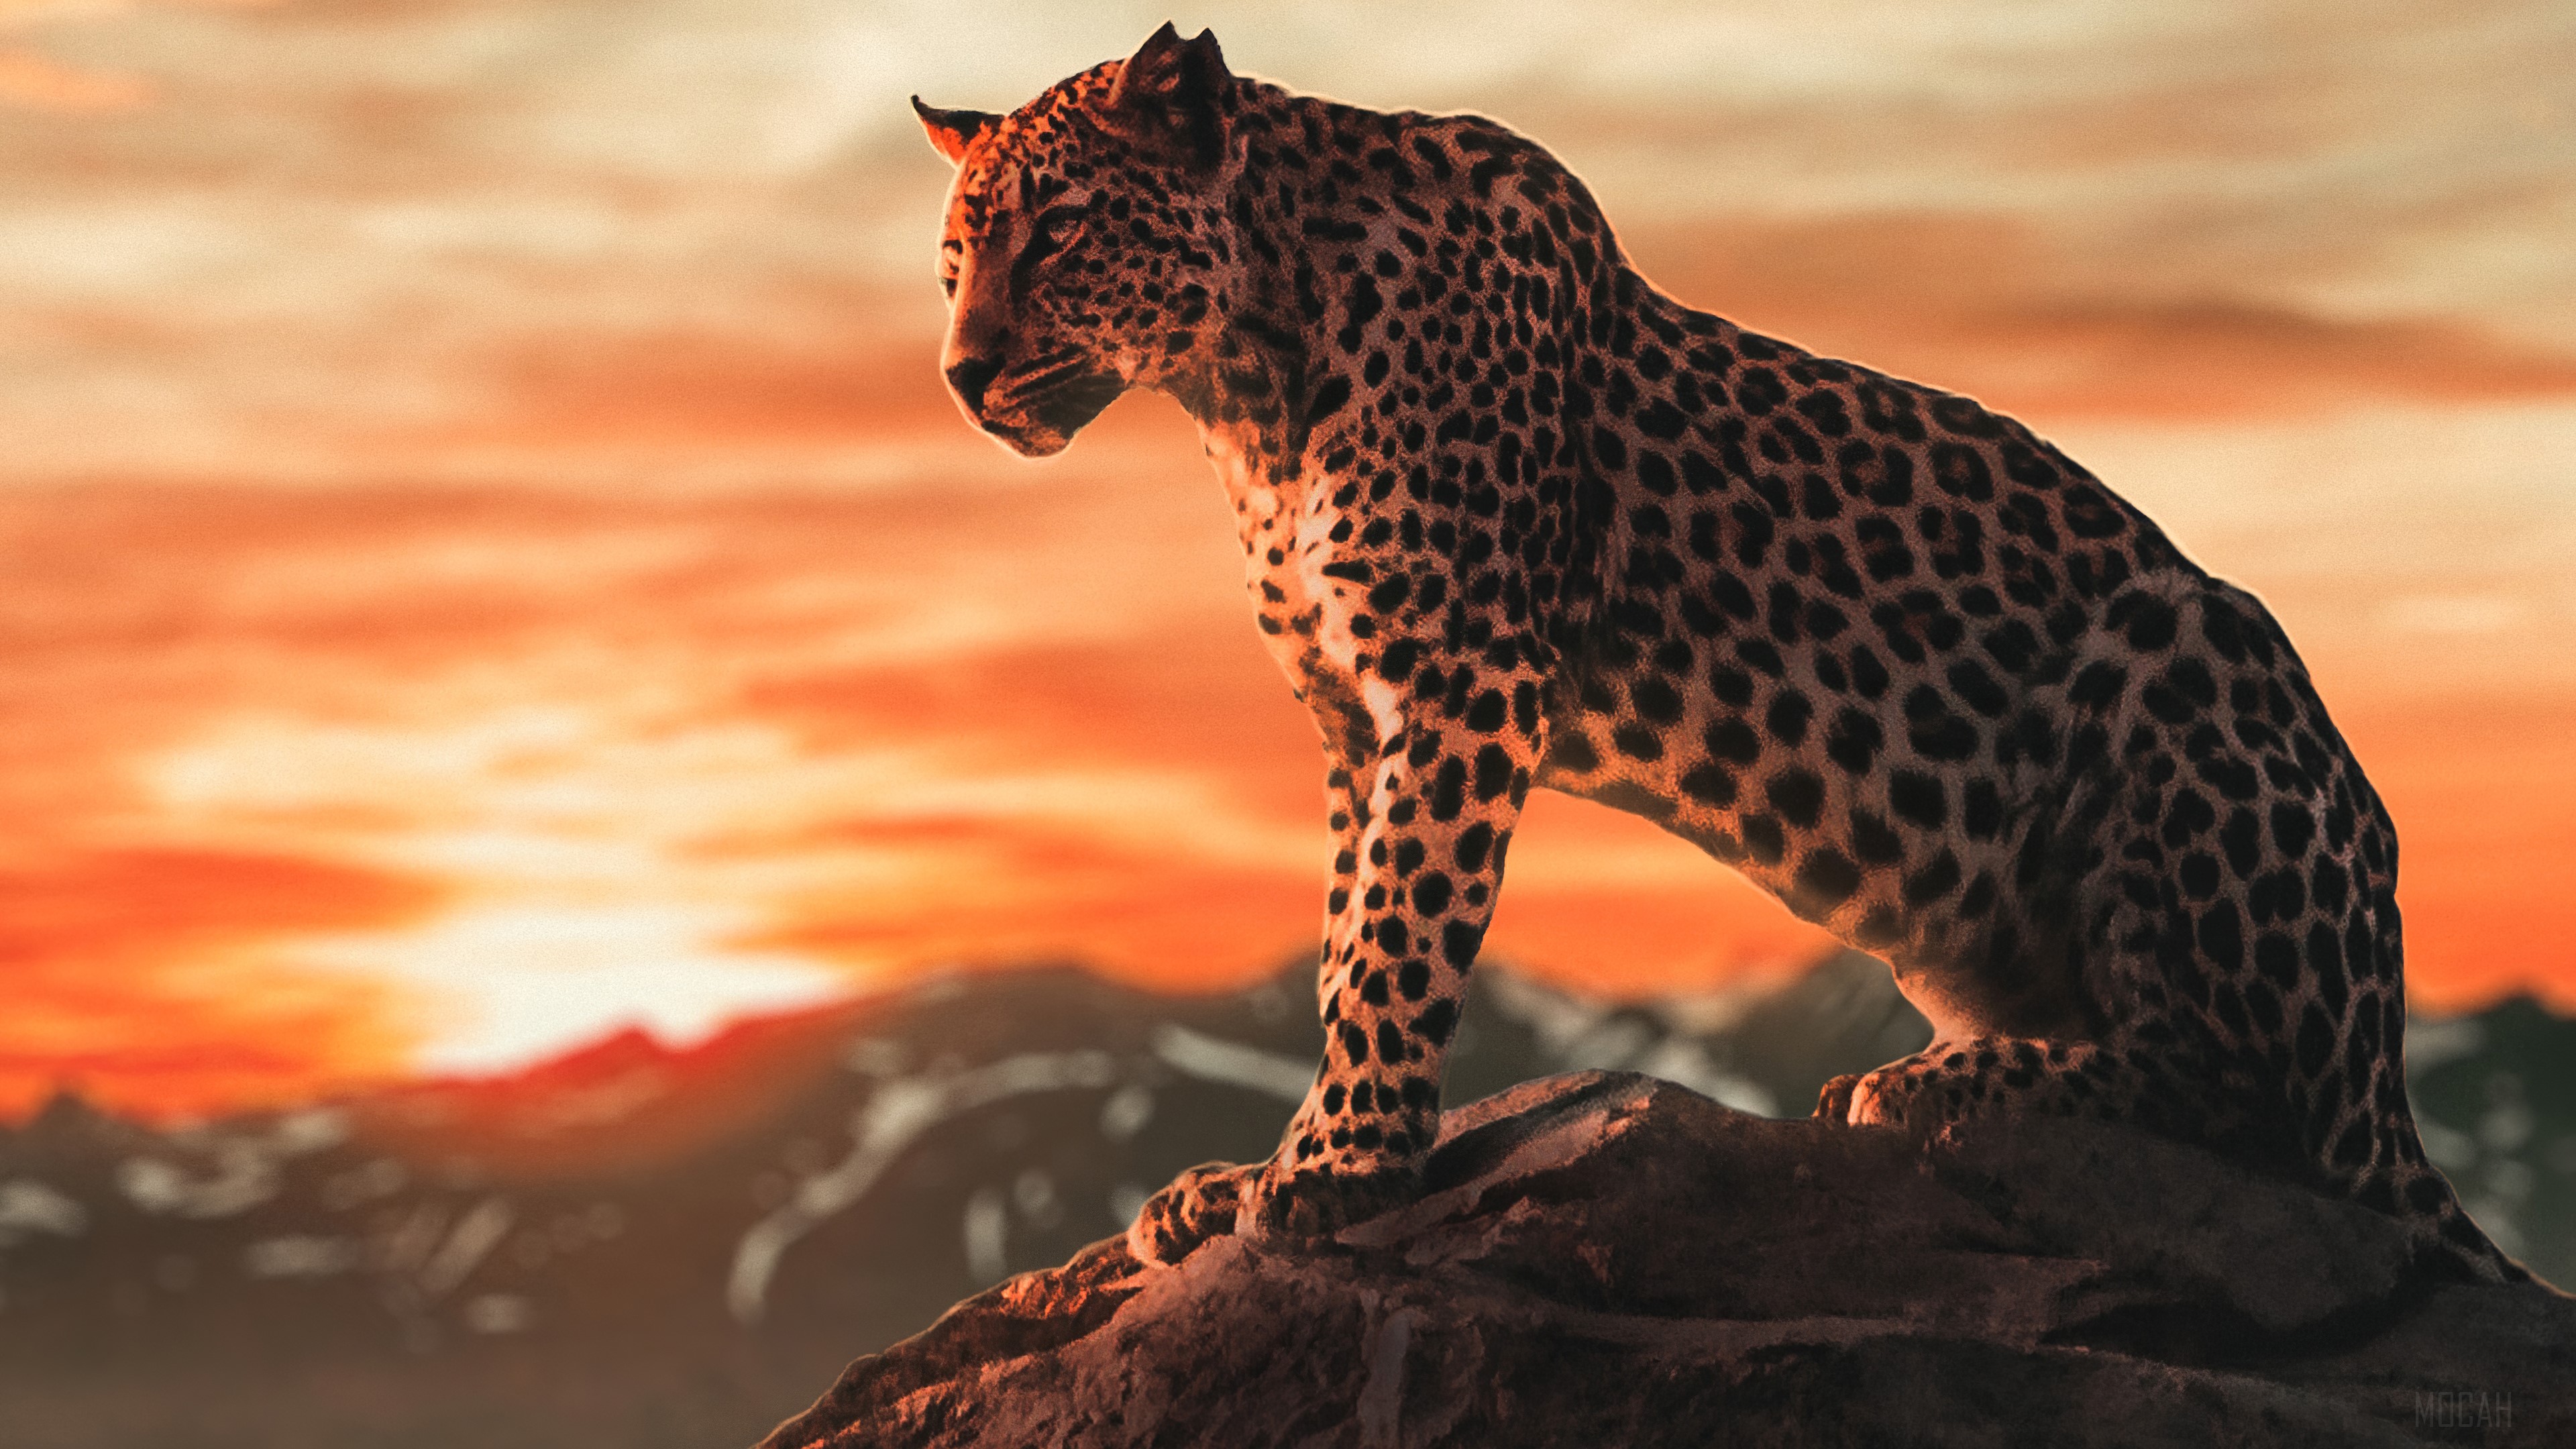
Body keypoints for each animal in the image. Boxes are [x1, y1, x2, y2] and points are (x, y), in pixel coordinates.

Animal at [912, 23, 2521, 1284]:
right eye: (951, 263)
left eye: (1058, 231)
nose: (961, 374)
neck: (1245, 389)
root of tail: (2387, 1058)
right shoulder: (1351, 723)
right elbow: (1339, 936)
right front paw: (1257, 1168)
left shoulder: (1463, 679)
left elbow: (1396, 938)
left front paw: (1336, 1167)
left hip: (2190, 651)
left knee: (2249, 1102)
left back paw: (1933, 1087)